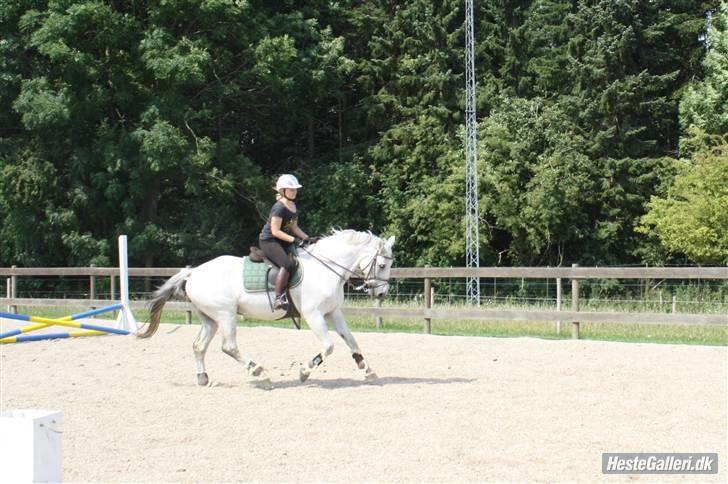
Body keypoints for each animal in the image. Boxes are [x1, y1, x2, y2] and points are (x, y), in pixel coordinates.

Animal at [139, 231, 396, 386]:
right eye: (383, 265)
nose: (381, 293)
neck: (326, 268)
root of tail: (192, 273)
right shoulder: (314, 315)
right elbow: (328, 347)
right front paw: (304, 371)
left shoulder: (333, 312)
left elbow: (352, 341)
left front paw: (367, 369)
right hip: (226, 315)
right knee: (229, 346)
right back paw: (258, 372)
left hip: (210, 319)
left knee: (198, 346)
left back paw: (203, 378)